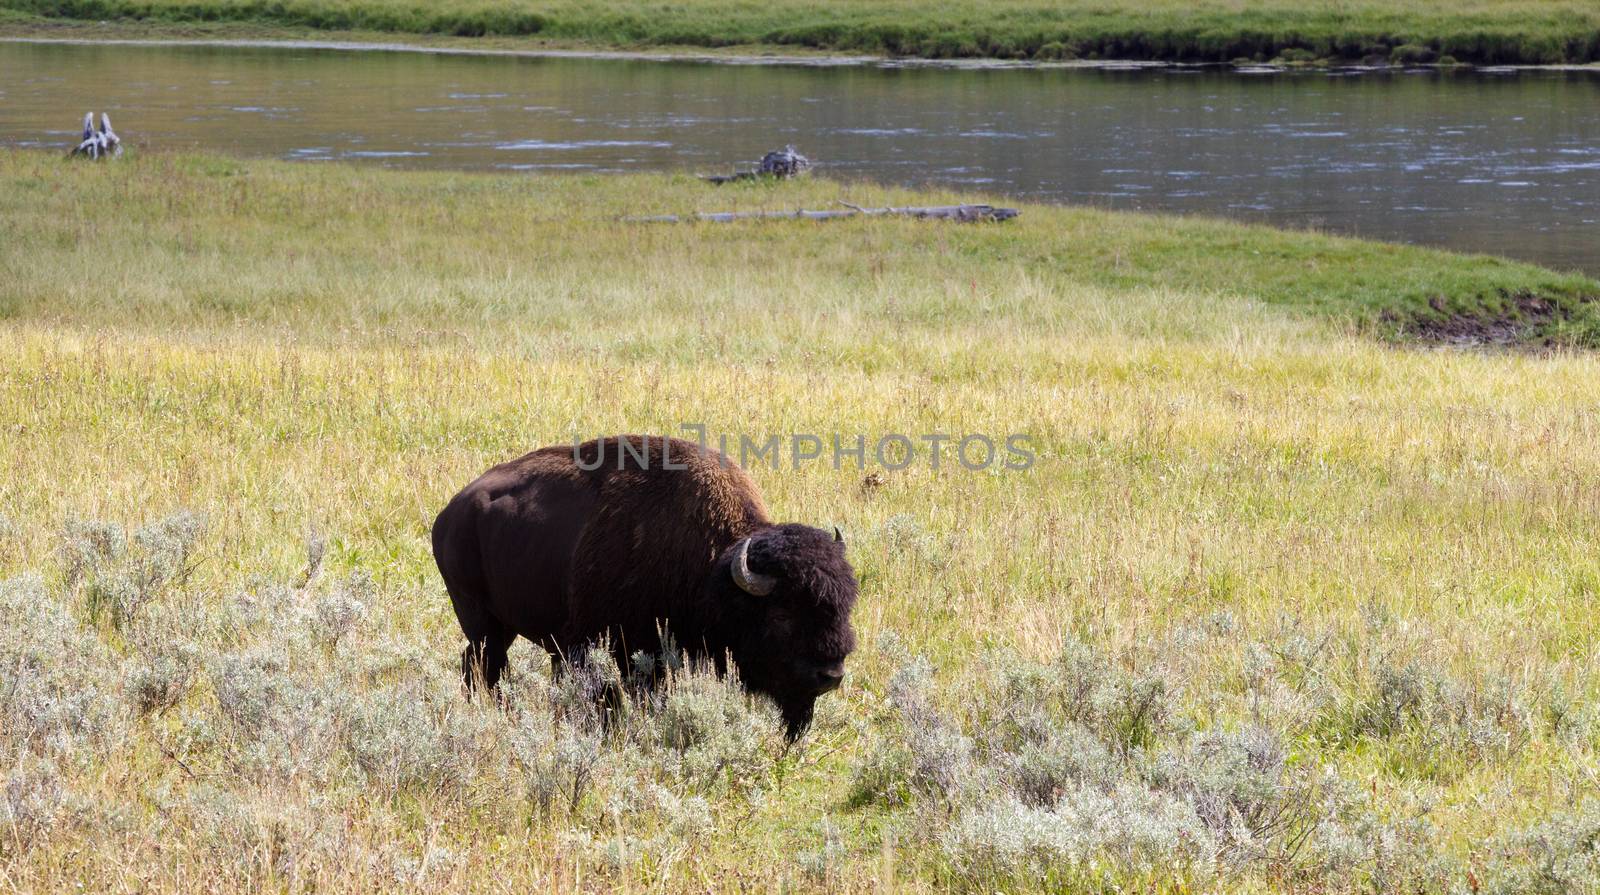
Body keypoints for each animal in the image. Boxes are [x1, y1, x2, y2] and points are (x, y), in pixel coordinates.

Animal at [432, 435, 857, 736]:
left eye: (844, 607)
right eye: (782, 615)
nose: (831, 675)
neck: (714, 571)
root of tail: (451, 512)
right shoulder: (623, 650)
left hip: (499, 627)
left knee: (476, 666)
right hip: (481, 621)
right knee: (486, 667)